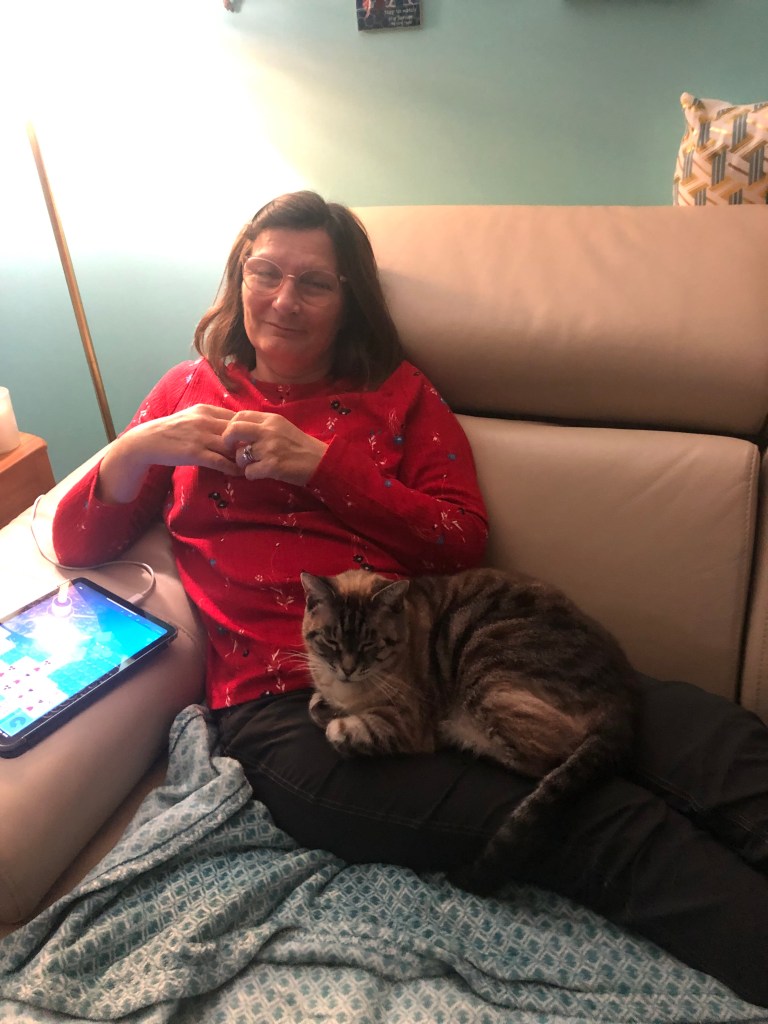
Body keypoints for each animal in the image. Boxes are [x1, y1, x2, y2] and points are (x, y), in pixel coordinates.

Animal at [300, 565, 638, 893]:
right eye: (330, 641)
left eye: (369, 643)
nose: (347, 669)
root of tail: (623, 704)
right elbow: (315, 706)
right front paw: (326, 705)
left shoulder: (409, 723)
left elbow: (342, 729)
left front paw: (340, 724)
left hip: (483, 665)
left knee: (545, 757)